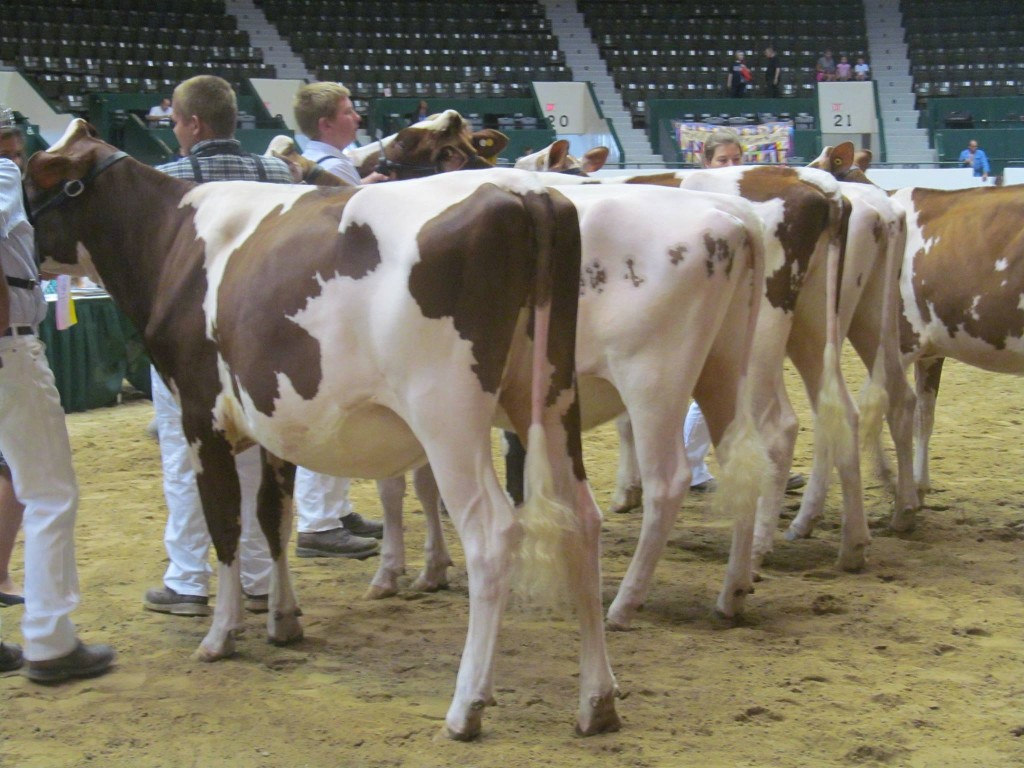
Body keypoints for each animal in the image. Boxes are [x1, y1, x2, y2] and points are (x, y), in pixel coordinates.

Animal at [24, 119, 621, 740]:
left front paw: (221, 634)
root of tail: (523, 192)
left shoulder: (200, 416)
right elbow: (273, 517)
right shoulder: (276, 420)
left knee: (492, 532)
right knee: (582, 520)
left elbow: (225, 524)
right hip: (551, 397)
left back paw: (466, 707)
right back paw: (597, 700)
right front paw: (283, 619)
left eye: (29, 177)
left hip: (448, 415)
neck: (173, 241)